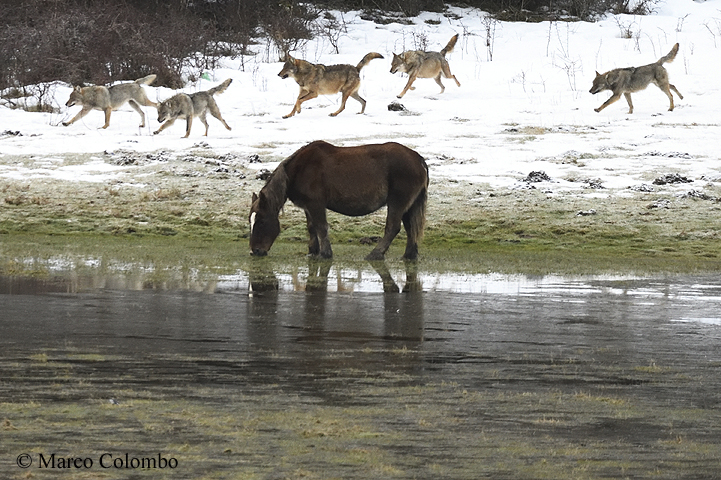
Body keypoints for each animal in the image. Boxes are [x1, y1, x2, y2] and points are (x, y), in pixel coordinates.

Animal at [249, 141, 428, 260]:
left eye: (261, 221)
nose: (254, 251)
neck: (299, 170)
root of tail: (418, 159)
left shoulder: (316, 204)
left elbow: (321, 227)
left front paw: (325, 253)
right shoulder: (308, 207)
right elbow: (311, 227)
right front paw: (312, 251)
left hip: (397, 202)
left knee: (393, 228)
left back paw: (375, 254)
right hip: (409, 205)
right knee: (410, 228)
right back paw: (409, 255)